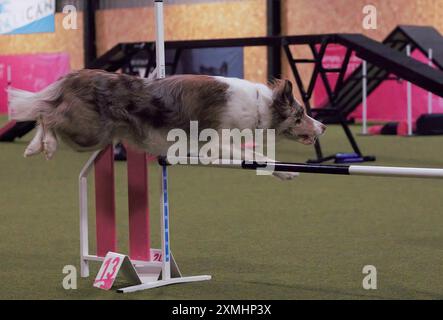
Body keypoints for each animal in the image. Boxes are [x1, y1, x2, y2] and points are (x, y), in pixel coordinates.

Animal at [6, 69, 326, 179]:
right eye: (300, 116)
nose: (322, 127)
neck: (260, 104)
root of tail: (74, 76)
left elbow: (257, 157)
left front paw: (285, 173)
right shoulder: (215, 144)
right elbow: (258, 155)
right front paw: (287, 170)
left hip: (91, 135)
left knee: (45, 112)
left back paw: (35, 146)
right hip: (89, 131)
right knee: (46, 114)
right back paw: (45, 146)